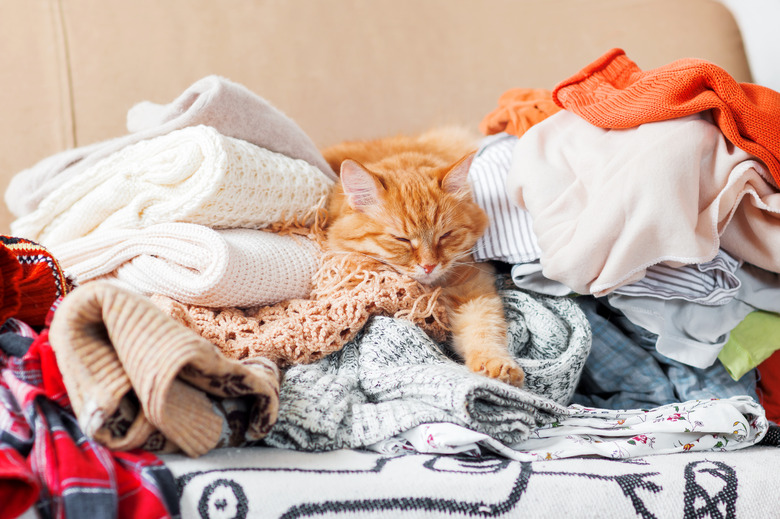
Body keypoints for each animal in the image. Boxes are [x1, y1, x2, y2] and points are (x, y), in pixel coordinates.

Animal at [320, 128, 528, 388]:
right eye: (402, 239)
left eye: (445, 235)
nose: (429, 266)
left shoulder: (472, 288)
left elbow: (484, 329)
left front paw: (496, 365)